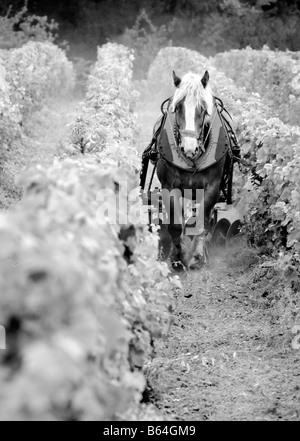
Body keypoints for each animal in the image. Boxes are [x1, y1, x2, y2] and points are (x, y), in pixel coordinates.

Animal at [155, 70, 230, 268]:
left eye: (202, 108)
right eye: (178, 107)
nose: (189, 149)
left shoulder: (212, 186)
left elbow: (203, 220)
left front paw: (197, 256)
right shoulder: (169, 186)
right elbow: (175, 224)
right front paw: (178, 256)